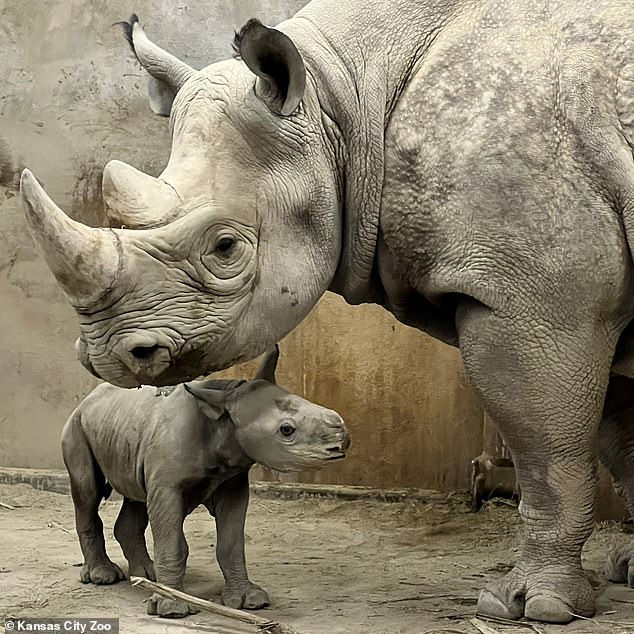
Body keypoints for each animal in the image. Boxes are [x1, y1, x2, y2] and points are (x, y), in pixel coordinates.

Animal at [61, 346, 348, 616]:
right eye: (286, 430)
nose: (342, 441)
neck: (223, 418)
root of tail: (87, 399)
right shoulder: (168, 487)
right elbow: (174, 544)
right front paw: (171, 608)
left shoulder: (232, 482)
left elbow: (231, 544)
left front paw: (248, 601)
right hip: (76, 425)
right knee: (88, 493)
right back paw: (104, 577)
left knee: (136, 498)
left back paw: (146, 577)